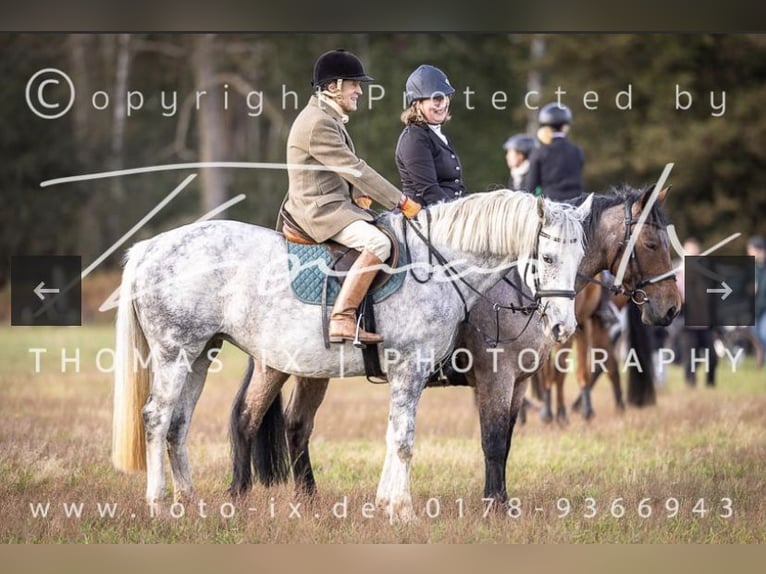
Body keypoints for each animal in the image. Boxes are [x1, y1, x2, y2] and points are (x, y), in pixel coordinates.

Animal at [111, 189, 592, 520]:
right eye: (548, 257)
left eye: (579, 257)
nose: (563, 327)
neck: (437, 265)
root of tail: (151, 248)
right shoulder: (418, 371)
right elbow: (407, 440)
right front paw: (403, 511)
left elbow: (397, 436)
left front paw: (386, 504)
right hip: (176, 354)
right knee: (158, 418)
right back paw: (160, 504)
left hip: (200, 355)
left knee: (179, 424)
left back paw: (189, 501)